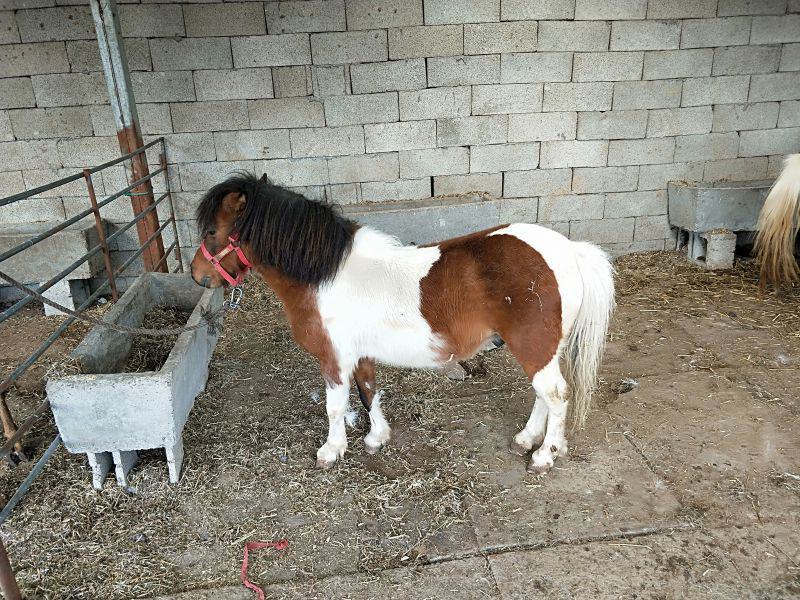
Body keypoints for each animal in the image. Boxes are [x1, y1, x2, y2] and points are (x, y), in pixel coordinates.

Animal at [189, 173, 615, 474]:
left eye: (211, 231)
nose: (197, 276)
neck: (325, 275)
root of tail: (569, 250)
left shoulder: (334, 360)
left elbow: (334, 407)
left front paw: (331, 451)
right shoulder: (360, 355)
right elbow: (368, 392)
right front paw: (376, 438)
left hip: (534, 347)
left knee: (555, 395)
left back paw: (544, 456)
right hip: (544, 349)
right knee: (544, 395)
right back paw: (527, 439)